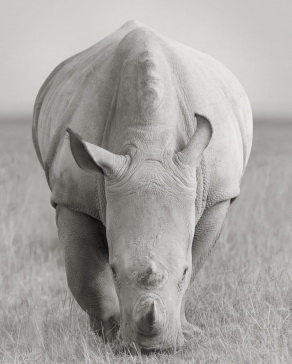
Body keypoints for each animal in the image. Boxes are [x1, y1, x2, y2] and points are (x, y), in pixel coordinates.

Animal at [33, 21, 253, 352]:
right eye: (114, 269)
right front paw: (110, 335)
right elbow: (84, 275)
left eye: (183, 271)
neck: (150, 140)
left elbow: (196, 259)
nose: (151, 349)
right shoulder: (73, 198)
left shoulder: (218, 196)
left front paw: (187, 333)